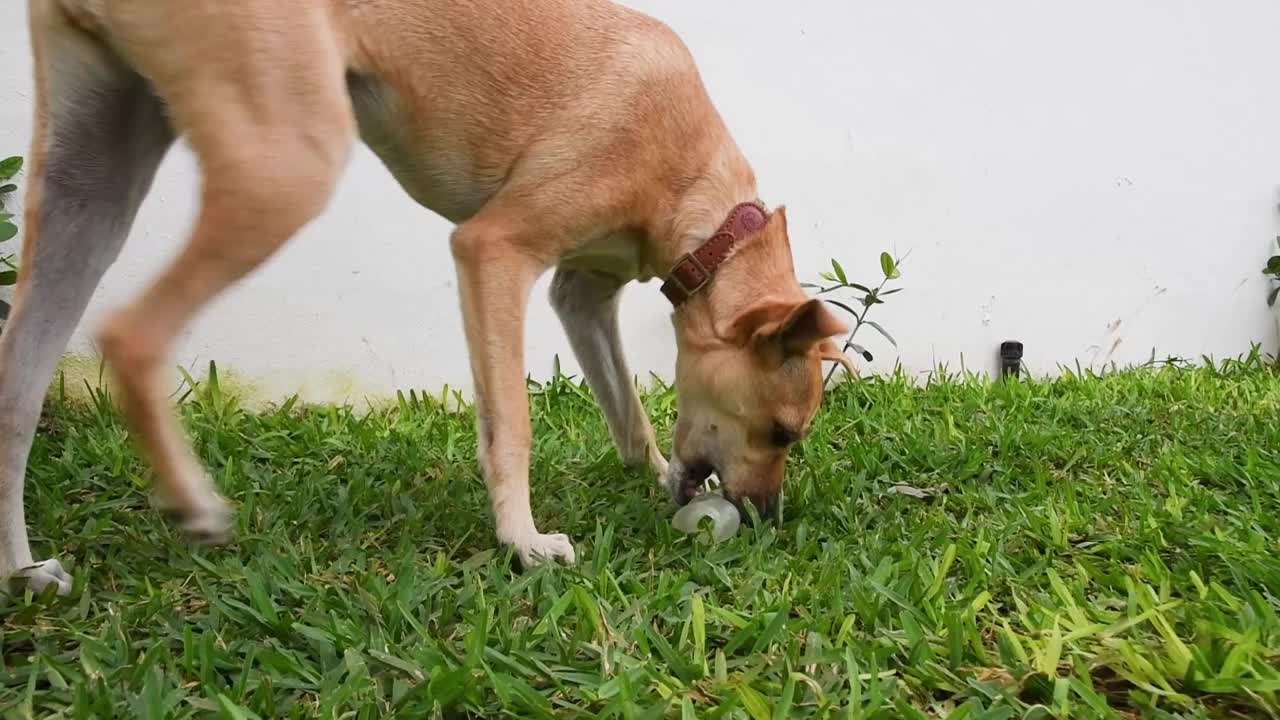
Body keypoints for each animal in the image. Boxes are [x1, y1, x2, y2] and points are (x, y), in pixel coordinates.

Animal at [2, 1, 860, 594]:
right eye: (782, 432)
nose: (763, 516)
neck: (702, 206)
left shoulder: (583, 292)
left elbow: (628, 413)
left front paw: (649, 471)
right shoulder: (493, 252)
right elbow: (511, 423)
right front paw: (522, 541)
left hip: (91, 178)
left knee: (18, 389)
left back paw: (22, 570)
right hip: (283, 164)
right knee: (133, 334)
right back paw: (191, 502)